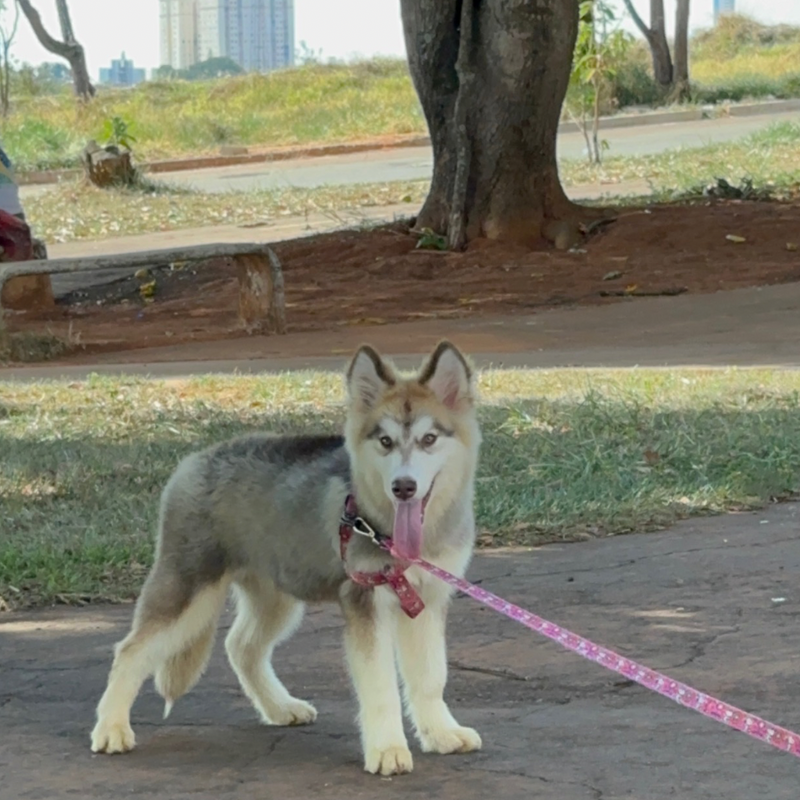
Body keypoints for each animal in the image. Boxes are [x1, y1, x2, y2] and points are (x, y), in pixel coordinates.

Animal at [90, 340, 484, 776]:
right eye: (385, 442)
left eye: (429, 438)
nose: (404, 486)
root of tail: (195, 459)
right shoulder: (365, 602)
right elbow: (380, 686)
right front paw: (387, 749)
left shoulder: (426, 600)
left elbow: (431, 677)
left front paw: (441, 733)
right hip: (188, 593)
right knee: (131, 650)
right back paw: (111, 728)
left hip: (277, 596)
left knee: (241, 646)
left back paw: (280, 707)